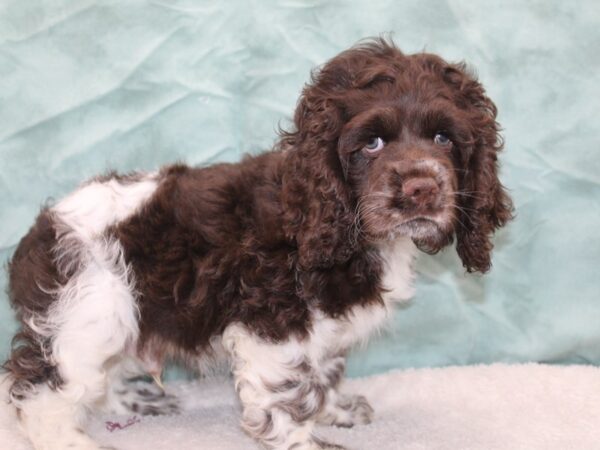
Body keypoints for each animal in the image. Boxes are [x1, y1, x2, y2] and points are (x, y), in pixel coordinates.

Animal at [3, 39, 510, 450]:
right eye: (372, 144)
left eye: (444, 138)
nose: (421, 190)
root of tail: (42, 228)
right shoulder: (273, 324)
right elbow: (288, 393)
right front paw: (304, 441)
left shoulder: (321, 328)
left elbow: (323, 372)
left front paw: (336, 411)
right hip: (89, 314)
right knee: (41, 386)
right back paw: (70, 439)